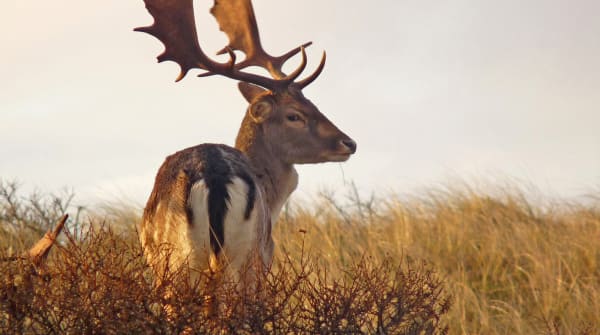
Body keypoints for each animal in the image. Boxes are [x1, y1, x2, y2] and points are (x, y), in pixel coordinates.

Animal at [136, 0, 356, 292]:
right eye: (294, 115)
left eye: (313, 104)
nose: (349, 142)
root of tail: (215, 177)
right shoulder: (266, 254)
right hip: (235, 258)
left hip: (195, 261)